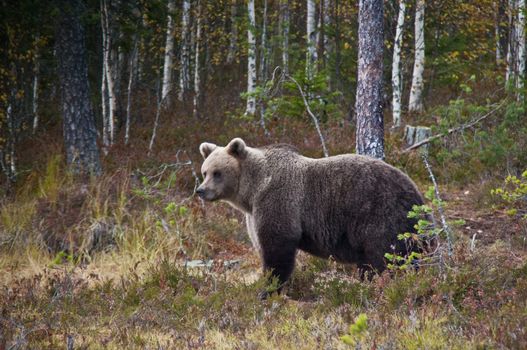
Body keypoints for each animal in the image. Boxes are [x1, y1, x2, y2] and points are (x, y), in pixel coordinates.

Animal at [197, 138, 424, 294]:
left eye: (217, 173)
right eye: (204, 171)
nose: (200, 190)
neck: (251, 192)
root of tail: (416, 193)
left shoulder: (278, 201)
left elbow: (278, 247)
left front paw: (269, 288)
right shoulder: (254, 215)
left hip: (380, 215)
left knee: (385, 257)